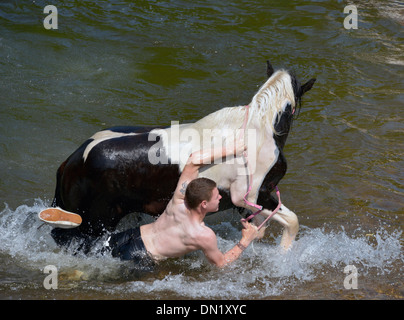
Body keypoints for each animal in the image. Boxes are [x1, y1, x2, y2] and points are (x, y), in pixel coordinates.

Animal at [49, 62, 316, 252]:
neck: (258, 129)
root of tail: (71, 161)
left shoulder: (253, 201)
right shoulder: (252, 196)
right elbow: (291, 222)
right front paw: (283, 258)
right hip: (94, 224)